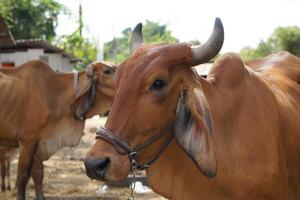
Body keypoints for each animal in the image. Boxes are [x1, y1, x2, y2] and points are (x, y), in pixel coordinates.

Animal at [0, 59, 116, 200]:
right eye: (107, 71)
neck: (53, 92)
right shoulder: (27, 141)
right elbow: (22, 177)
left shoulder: (39, 142)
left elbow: (38, 175)